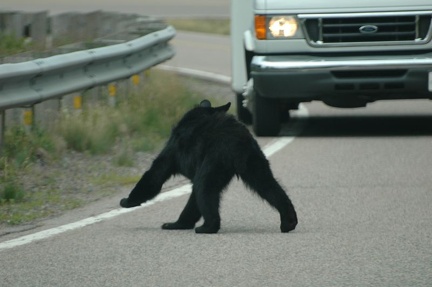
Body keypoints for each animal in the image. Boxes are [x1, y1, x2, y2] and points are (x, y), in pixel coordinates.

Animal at [120, 99, 296, 234]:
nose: (124, 201)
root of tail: (237, 139)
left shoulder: (173, 148)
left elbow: (155, 174)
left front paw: (127, 201)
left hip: (215, 158)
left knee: (204, 187)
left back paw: (207, 226)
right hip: (253, 159)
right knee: (267, 184)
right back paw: (289, 221)